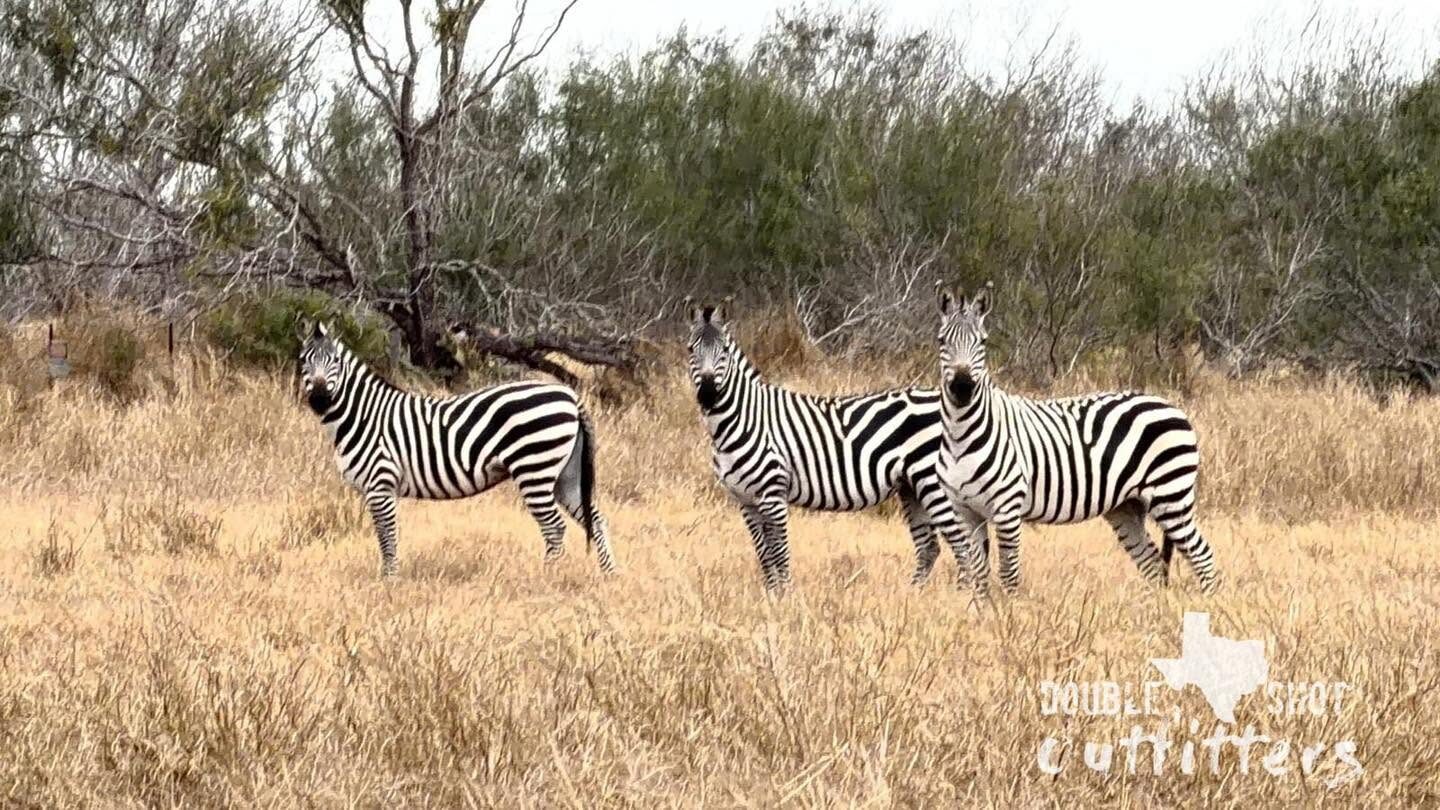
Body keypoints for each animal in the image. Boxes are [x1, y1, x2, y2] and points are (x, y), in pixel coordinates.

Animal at [296, 320, 616, 576]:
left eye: (335, 361)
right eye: (304, 361)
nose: (320, 397)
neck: (363, 416)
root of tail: (569, 395)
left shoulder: (381, 484)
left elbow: (387, 538)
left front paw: (389, 581)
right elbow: (386, 536)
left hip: (534, 468)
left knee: (555, 528)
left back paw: (545, 577)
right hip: (565, 475)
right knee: (595, 520)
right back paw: (609, 575)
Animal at [685, 298, 970, 592]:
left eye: (724, 352)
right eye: (690, 349)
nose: (708, 394)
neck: (742, 420)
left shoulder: (773, 492)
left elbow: (779, 551)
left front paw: (786, 596)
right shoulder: (745, 500)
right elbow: (764, 554)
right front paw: (771, 594)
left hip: (932, 482)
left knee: (962, 543)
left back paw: (963, 594)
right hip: (911, 487)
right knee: (929, 547)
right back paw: (912, 594)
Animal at [933, 284, 1220, 596]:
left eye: (982, 342)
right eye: (942, 340)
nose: (962, 388)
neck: (961, 435)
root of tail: (1174, 407)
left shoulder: (1007, 507)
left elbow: (1008, 573)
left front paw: (1009, 608)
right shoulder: (964, 510)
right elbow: (978, 574)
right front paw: (980, 606)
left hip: (1171, 495)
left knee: (1202, 556)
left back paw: (1207, 601)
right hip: (1127, 507)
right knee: (1153, 564)